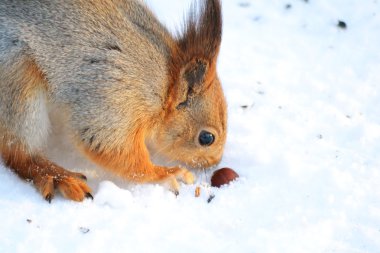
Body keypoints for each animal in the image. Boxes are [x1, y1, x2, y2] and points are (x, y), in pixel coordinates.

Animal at [0, 0, 226, 202]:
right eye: (206, 138)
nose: (214, 163)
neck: (165, 83)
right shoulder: (118, 94)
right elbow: (111, 147)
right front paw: (165, 173)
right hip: (18, 83)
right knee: (19, 154)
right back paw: (58, 176)